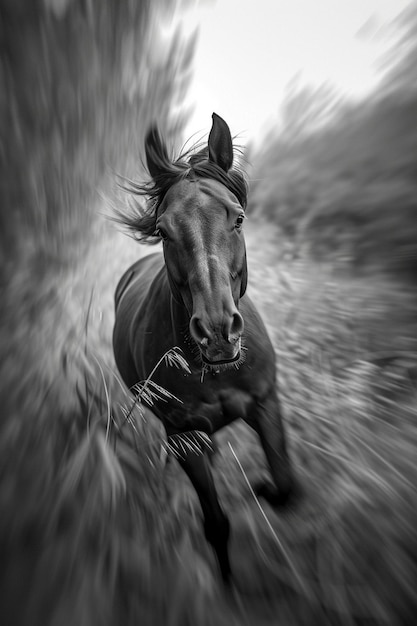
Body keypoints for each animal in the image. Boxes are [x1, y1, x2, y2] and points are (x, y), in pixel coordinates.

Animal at [111, 113, 292, 580]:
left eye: (239, 218)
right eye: (163, 230)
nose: (217, 332)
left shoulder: (266, 403)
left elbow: (286, 484)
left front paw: (264, 488)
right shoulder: (185, 436)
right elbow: (216, 524)